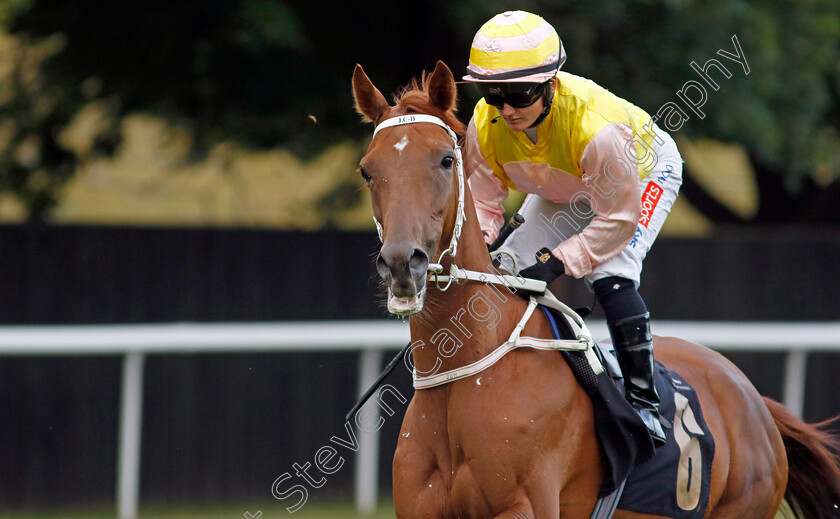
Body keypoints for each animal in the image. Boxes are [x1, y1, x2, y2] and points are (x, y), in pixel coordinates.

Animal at [352, 62, 840, 519]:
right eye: (367, 171)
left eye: (445, 161)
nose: (403, 263)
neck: (463, 377)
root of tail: (756, 403)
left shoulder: (526, 504)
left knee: (617, 277)